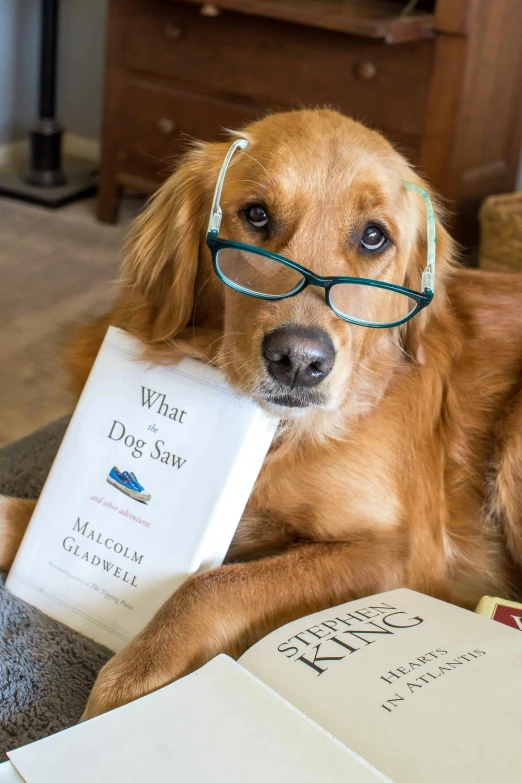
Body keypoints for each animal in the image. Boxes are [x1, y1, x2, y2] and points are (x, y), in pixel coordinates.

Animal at [1, 110, 520, 724]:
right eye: (256, 214)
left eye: (374, 236)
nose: (299, 360)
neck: (279, 434)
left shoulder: (404, 554)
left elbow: (212, 587)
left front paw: (122, 694)